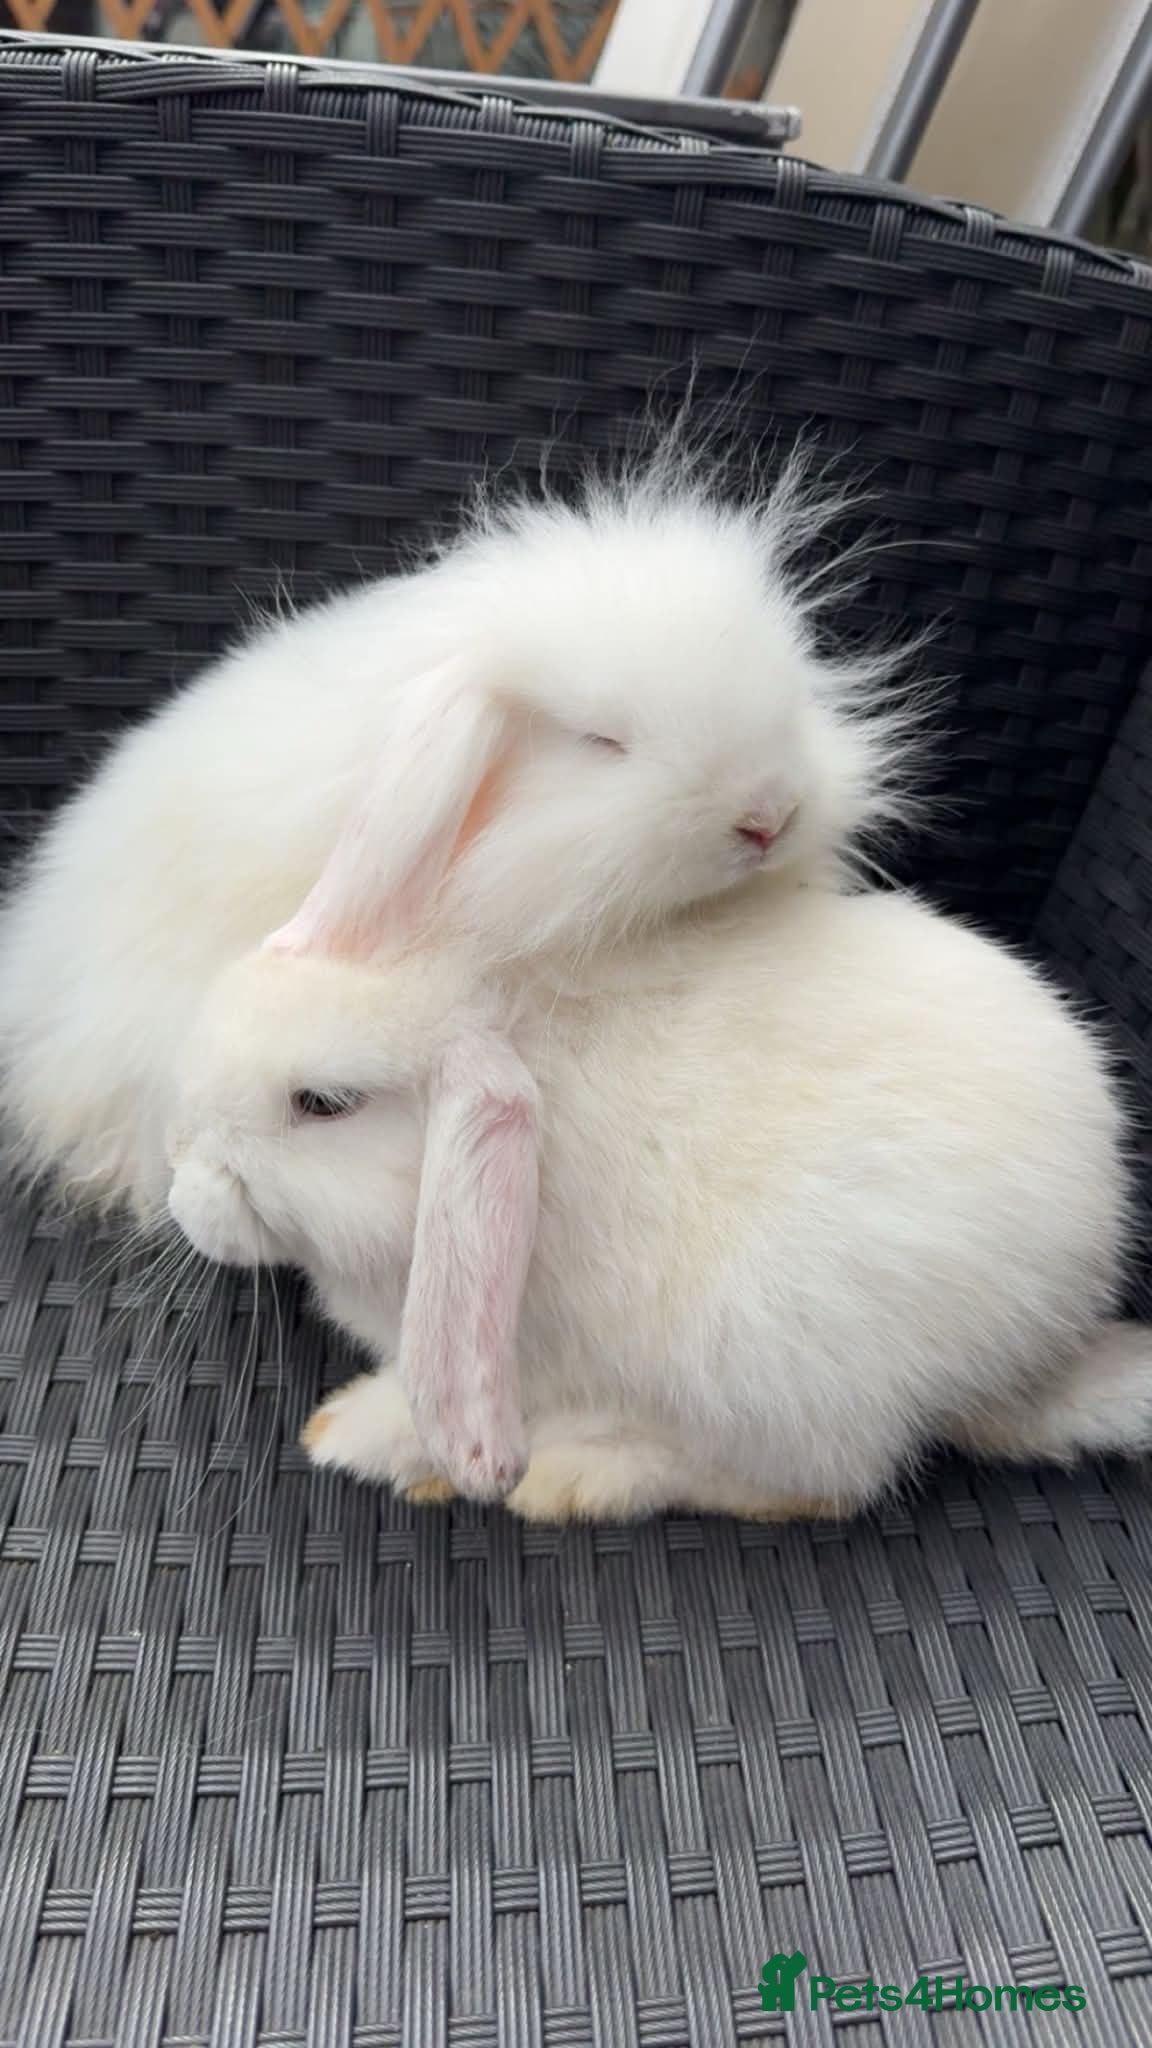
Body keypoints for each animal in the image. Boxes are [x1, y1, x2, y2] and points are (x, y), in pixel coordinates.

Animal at [162, 869, 1152, 1518]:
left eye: (323, 1102)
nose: (179, 1188)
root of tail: (1040, 1355)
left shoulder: (521, 1353)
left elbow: (426, 1403)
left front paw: (346, 1437)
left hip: (770, 1357)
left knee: (820, 1487)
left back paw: (571, 1479)